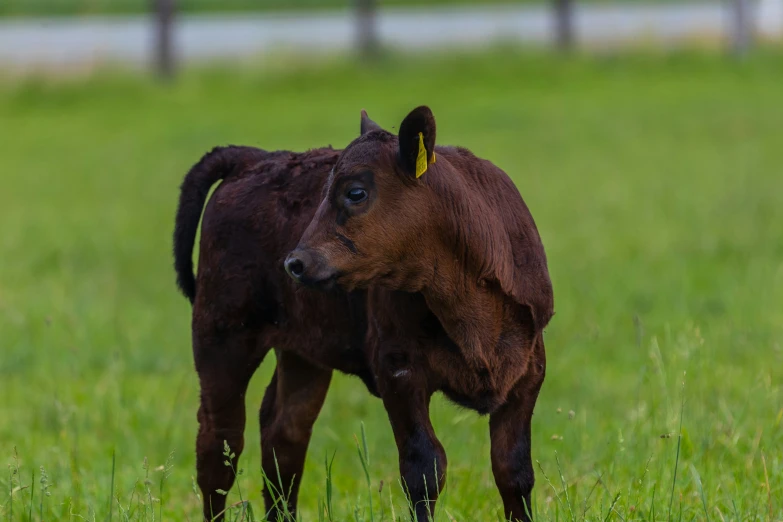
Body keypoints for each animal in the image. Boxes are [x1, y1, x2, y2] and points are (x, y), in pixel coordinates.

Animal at [286, 104, 552, 516]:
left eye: (355, 192)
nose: (295, 262)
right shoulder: (397, 368)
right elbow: (423, 469)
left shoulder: (530, 368)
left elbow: (513, 469)